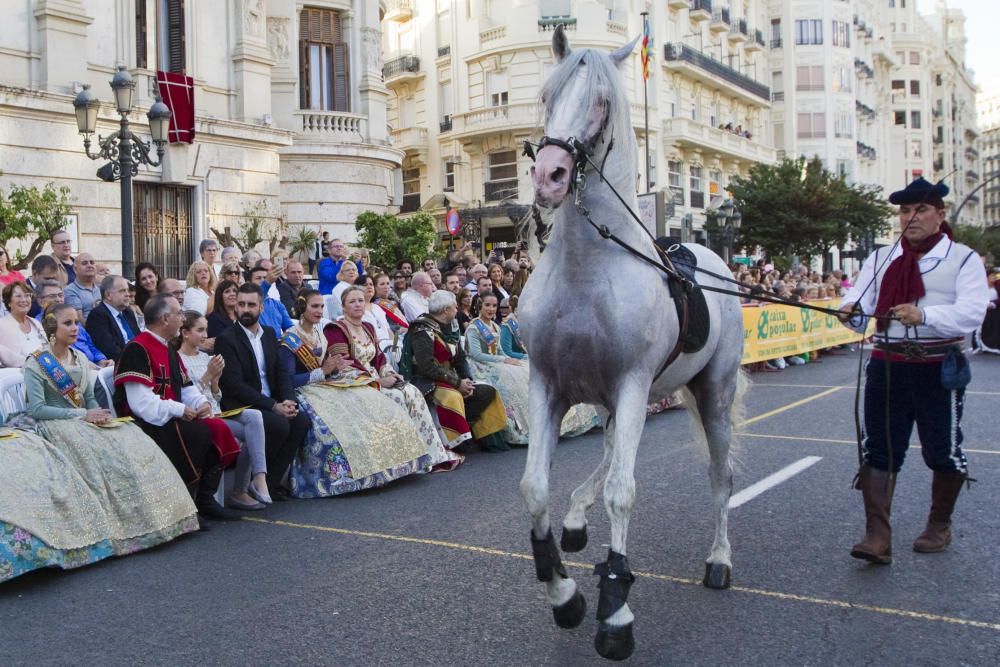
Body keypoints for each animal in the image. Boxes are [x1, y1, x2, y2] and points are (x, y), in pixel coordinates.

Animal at [520, 27, 748, 664]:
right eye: (547, 95)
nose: (550, 175)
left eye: (600, 102)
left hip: (709, 392)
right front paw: (564, 593)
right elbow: (536, 489)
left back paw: (719, 559)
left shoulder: (630, 385)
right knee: (602, 457)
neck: (588, 268)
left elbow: (623, 493)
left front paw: (615, 612)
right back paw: (577, 518)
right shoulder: (549, 387)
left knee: (721, 478)